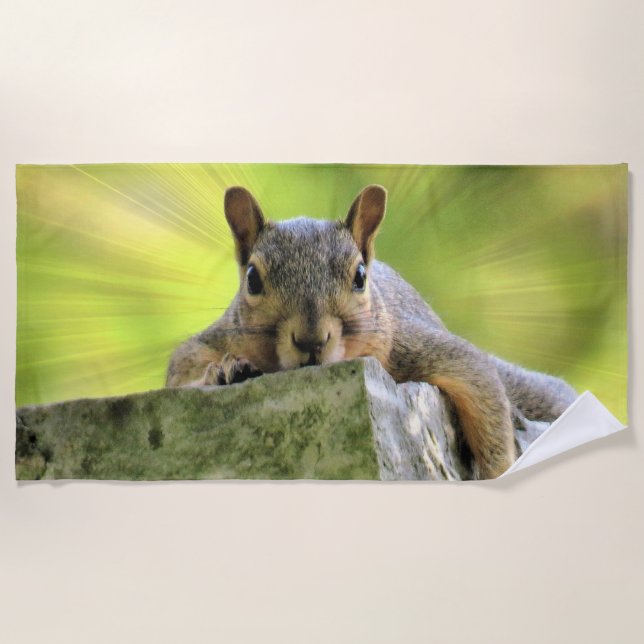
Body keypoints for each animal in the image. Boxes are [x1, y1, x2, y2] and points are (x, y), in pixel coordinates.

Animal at [166, 185, 578, 479]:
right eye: (251, 278)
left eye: (361, 276)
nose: (311, 341)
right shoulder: (219, 336)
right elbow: (181, 370)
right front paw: (224, 369)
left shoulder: (411, 345)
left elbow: (480, 387)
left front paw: (499, 470)